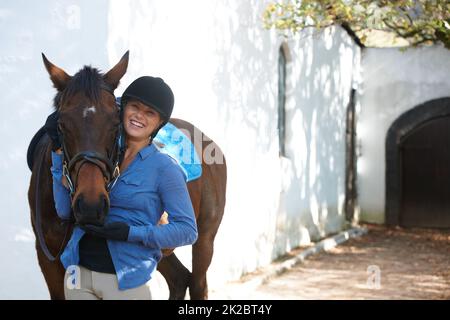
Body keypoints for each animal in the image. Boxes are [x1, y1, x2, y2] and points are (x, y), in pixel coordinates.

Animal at [26, 52, 227, 300]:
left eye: (115, 123)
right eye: (61, 125)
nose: (91, 206)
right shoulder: (49, 260)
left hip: (204, 239)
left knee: (198, 283)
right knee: (180, 279)